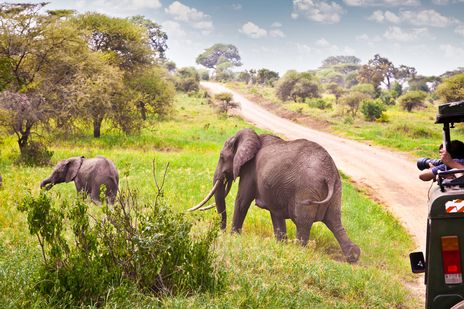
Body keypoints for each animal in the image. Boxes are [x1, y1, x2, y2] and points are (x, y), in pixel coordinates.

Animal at [190, 128, 360, 262]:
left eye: (221, 157)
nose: (221, 232)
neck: (254, 137)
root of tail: (329, 173)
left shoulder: (250, 171)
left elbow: (242, 201)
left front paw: (233, 238)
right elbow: (275, 214)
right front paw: (281, 244)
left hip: (307, 189)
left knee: (303, 222)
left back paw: (298, 251)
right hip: (337, 189)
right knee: (335, 221)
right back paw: (353, 256)